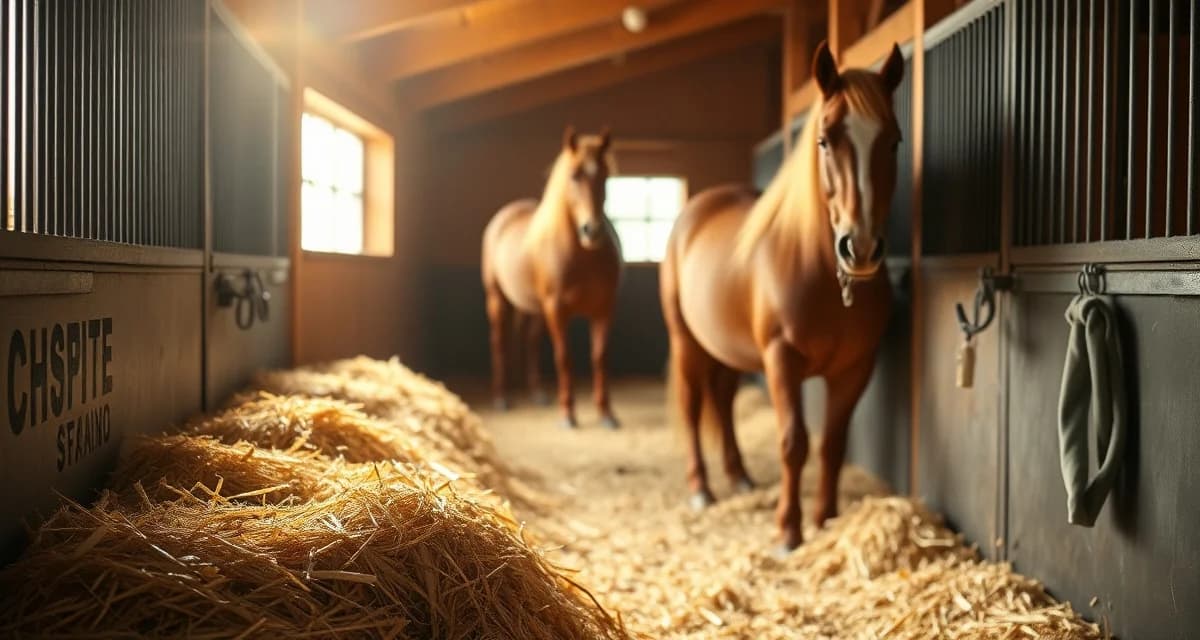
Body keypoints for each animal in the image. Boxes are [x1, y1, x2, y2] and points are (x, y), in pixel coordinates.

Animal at [481, 126, 622, 429]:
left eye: (605, 175)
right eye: (574, 175)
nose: (592, 230)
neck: (582, 256)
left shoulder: (604, 310)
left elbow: (600, 358)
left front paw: (606, 413)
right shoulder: (557, 310)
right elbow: (564, 358)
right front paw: (568, 414)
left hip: (534, 309)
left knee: (530, 341)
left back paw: (536, 393)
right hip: (498, 300)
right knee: (499, 341)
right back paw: (501, 398)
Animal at [659, 42, 905, 550]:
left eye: (893, 141)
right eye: (825, 140)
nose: (860, 248)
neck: (823, 276)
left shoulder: (856, 367)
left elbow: (832, 444)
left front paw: (826, 518)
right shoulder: (781, 359)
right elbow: (794, 442)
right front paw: (788, 531)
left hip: (727, 348)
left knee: (723, 399)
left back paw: (739, 477)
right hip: (687, 342)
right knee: (693, 406)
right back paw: (702, 489)